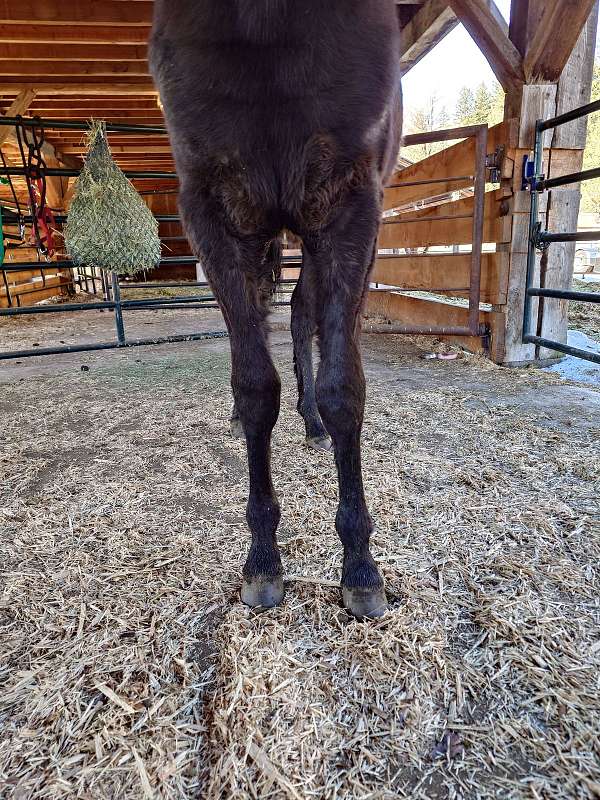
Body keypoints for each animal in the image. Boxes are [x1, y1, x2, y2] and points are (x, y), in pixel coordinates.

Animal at [150, 0, 404, 616]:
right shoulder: (216, 214)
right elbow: (255, 386)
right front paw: (263, 558)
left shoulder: (347, 210)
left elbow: (343, 388)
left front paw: (360, 566)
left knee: (299, 318)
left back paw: (310, 421)